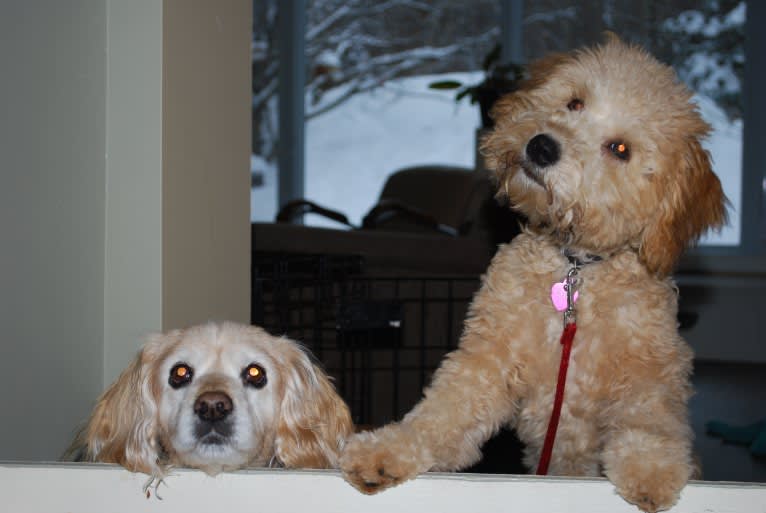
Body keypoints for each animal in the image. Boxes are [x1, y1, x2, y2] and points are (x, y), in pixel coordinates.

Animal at [344, 34, 728, 510]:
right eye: (575, 102)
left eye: (620, 149)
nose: (542, 147)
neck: (576, 271)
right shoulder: (487, 359)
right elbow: (443, 412)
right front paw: (388, 447)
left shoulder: (652, 372)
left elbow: (650, 421)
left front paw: (651, 471)